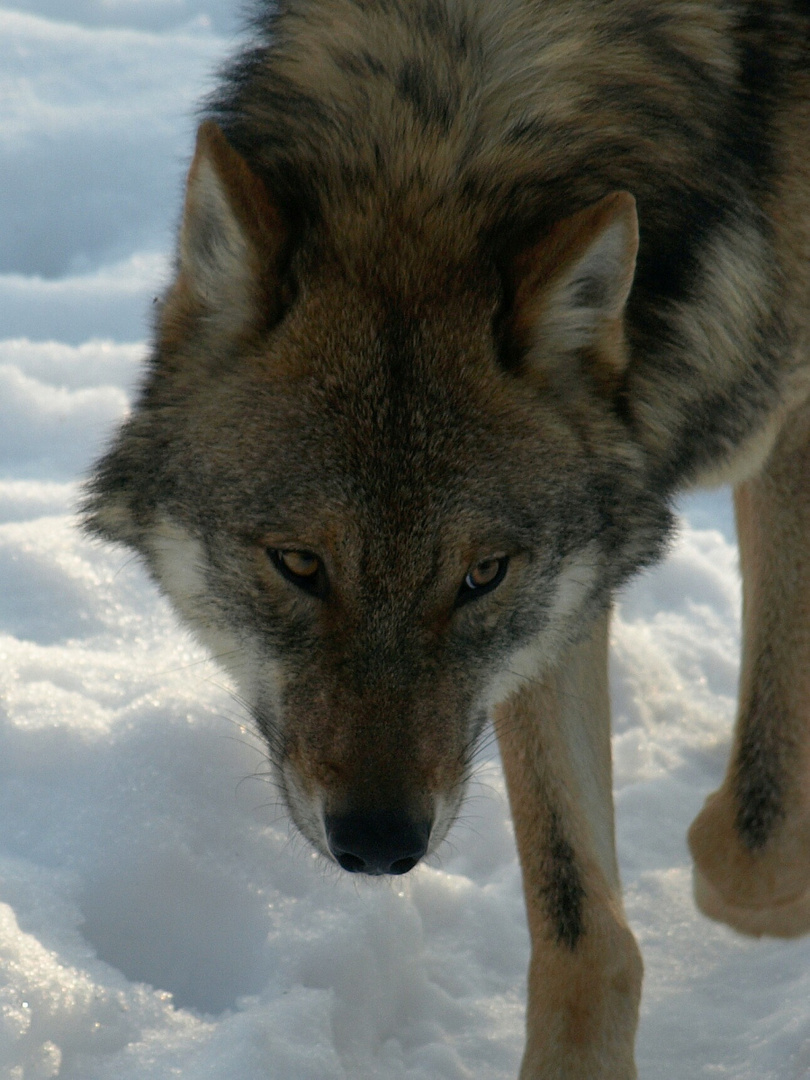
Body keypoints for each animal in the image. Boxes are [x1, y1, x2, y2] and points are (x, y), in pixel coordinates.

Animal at [84, 4, 810, 1075]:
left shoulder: (780, 423)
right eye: (300, 564)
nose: (383, 843)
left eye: (481, 575)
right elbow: (581, 916)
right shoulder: (559, 611)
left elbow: (750, 849)